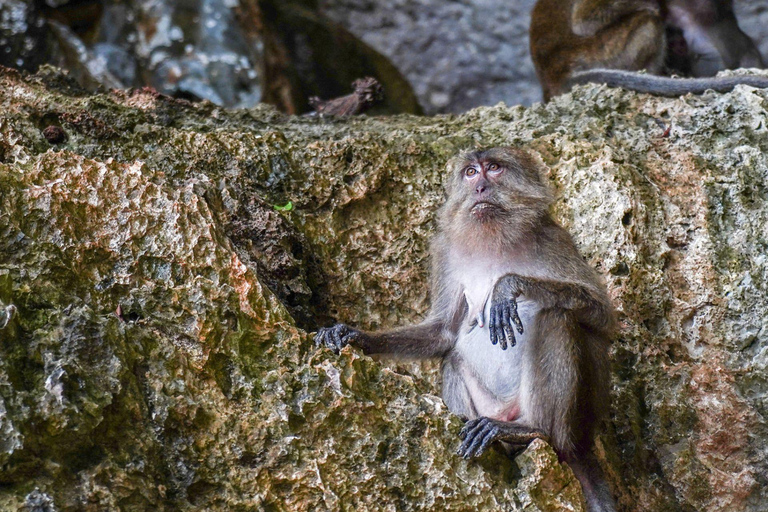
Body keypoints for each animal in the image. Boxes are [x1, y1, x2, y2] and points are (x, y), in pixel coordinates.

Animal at [316, 146, 616, 510]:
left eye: (495, 168)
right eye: (471, 172)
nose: (480, 188)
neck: (494, 240)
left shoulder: (556, 239)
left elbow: (603, 317)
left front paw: (508, 285)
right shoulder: (445, 253)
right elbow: (443, 333)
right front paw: (356, 337)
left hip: (568, 423)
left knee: (557, 318)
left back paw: (532, 430)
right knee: (454, 358)